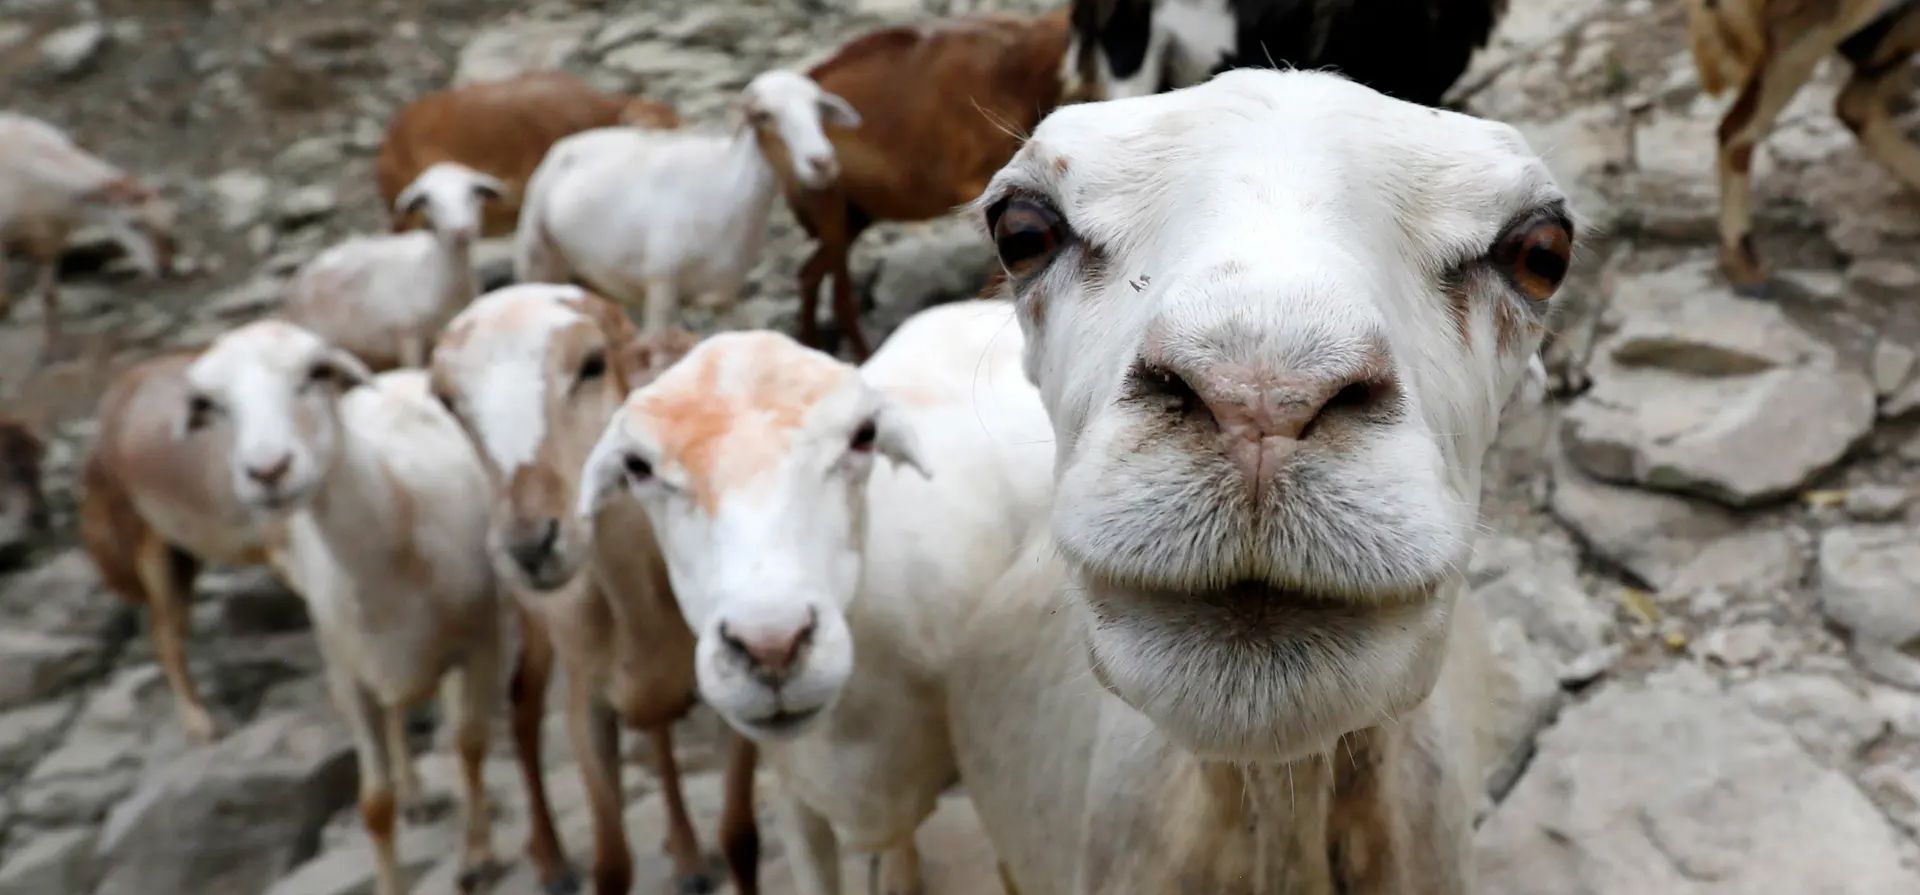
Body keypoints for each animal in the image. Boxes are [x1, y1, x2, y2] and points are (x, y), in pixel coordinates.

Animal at [0, 112, 175, 355]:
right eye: (134, 224)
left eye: (169, 218)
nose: (165, 267)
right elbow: (4, 299)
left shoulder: (51, 241)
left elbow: (50, 296)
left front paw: (53, 348)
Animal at [181, 322, 507, 895]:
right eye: (211, 405)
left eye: (315, 375)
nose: (268, 470)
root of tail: (398, 376)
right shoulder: (351, 676)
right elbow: (374, 805)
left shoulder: (479, 640)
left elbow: (470, 743)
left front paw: (480, 856)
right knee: (398, 715)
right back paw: (416, 794)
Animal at [429, 284, 758, 895]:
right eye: (445, 398)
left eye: (592, 363)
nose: (531, 544)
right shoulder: (588, 701)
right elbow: (611, 864)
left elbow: (739, 836)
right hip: (536, 626)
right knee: (524, 707)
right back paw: (552, 861)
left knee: (655, 728)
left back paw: (686, 855)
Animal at [514, 70, 858, 334]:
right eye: (763, 115)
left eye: (818, 109)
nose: (822, 163)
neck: (724, 190)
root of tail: (568, 145)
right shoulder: (661, 290)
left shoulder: (725, 297)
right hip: (538, 258)